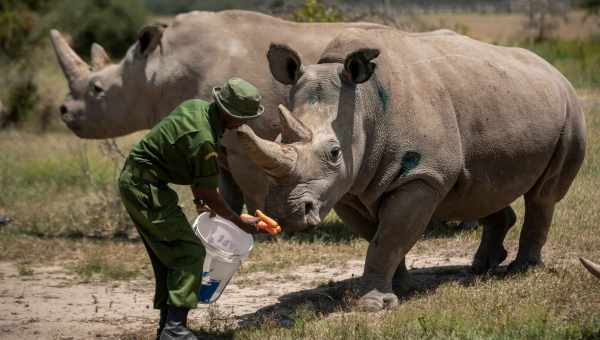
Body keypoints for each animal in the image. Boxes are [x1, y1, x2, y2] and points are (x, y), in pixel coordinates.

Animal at [51, 9, 386, 212]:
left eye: (97, 89)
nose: (64, 111)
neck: (155, 70)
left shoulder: (244, 142)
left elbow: (251, 187)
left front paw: (267, 227)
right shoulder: (221, 144)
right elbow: (227, 188)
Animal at [237, 28, 588, 310]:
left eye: (335, 153)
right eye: (278, 138)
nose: (285, 213)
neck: (364, 105)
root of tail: (553, 69)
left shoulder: (422, 176)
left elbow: (389, 236)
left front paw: (372, 305)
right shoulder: (348, 187)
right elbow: (379, 236)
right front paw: (401, 288)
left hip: (570, 110)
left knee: (543, 195)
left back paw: (522, 270)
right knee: (482, 186)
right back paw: (481, 267)